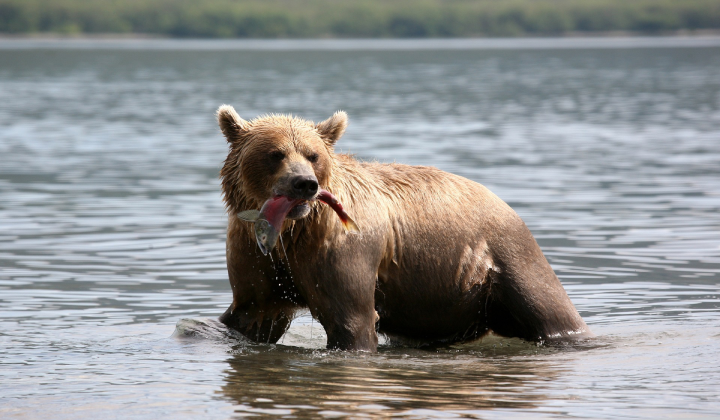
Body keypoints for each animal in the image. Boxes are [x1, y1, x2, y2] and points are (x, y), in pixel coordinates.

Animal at [216, 105, 593, 351]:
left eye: (312, 154)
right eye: (275, 153)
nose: (304, 184)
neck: (293, 232)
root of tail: (503, 201)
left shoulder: (341, 249)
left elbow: (350, 318)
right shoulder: (255, 253)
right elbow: (254, 312)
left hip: (508, 255)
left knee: (550, 310)